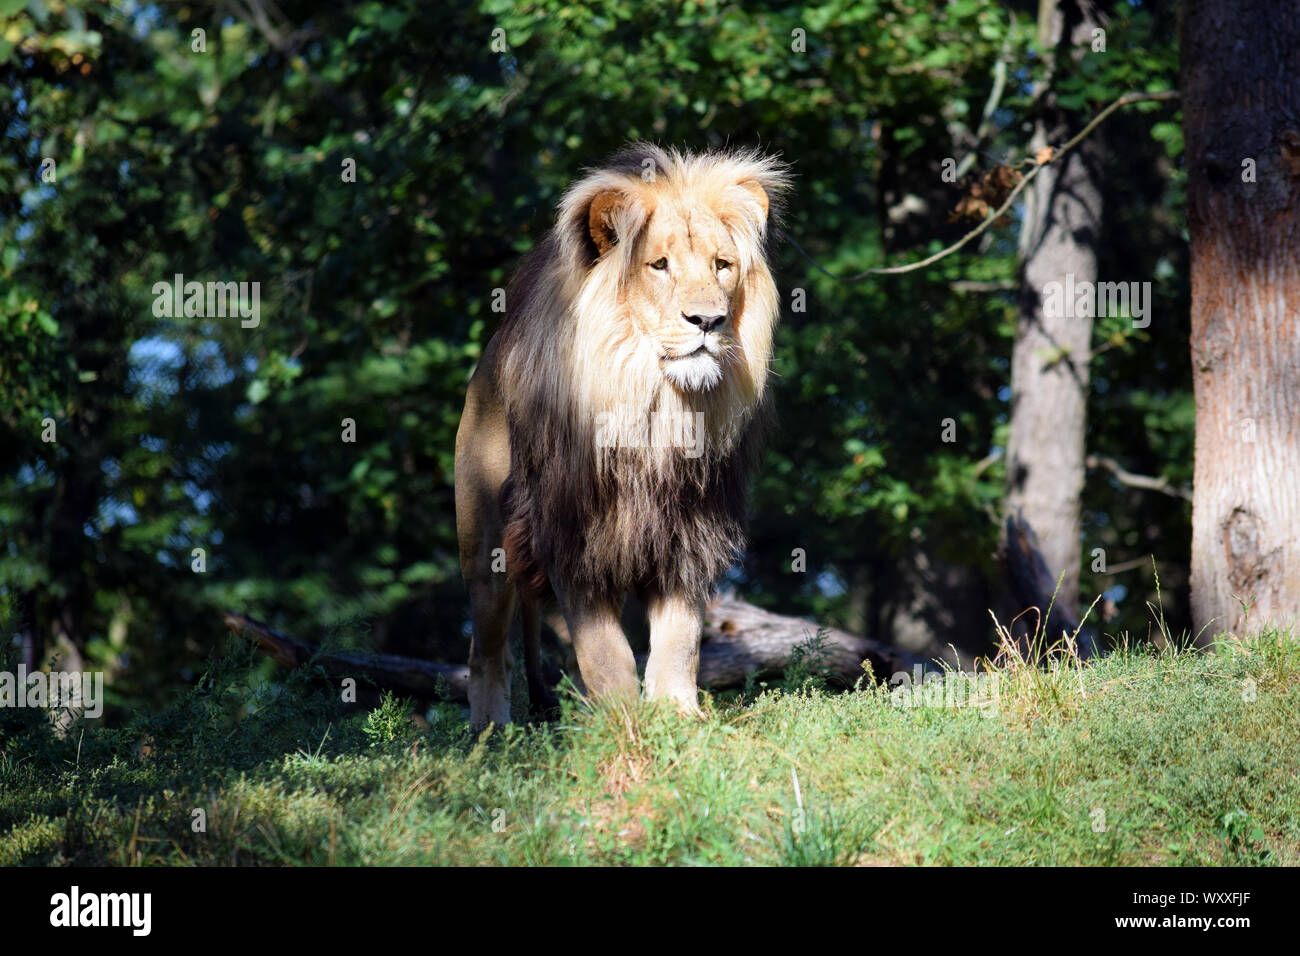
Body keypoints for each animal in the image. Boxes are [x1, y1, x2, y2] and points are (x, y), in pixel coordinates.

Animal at [452, 141, 785, 728]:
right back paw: (491, 735)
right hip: (486, 544)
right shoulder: (572, 533)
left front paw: (678, 717)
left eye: (722, 266)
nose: (708, 321)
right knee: (487, 652)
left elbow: (680, 639)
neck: (654, 406)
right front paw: (620, 720)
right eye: (660, 265)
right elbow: (604, 650)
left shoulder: (690, 533)